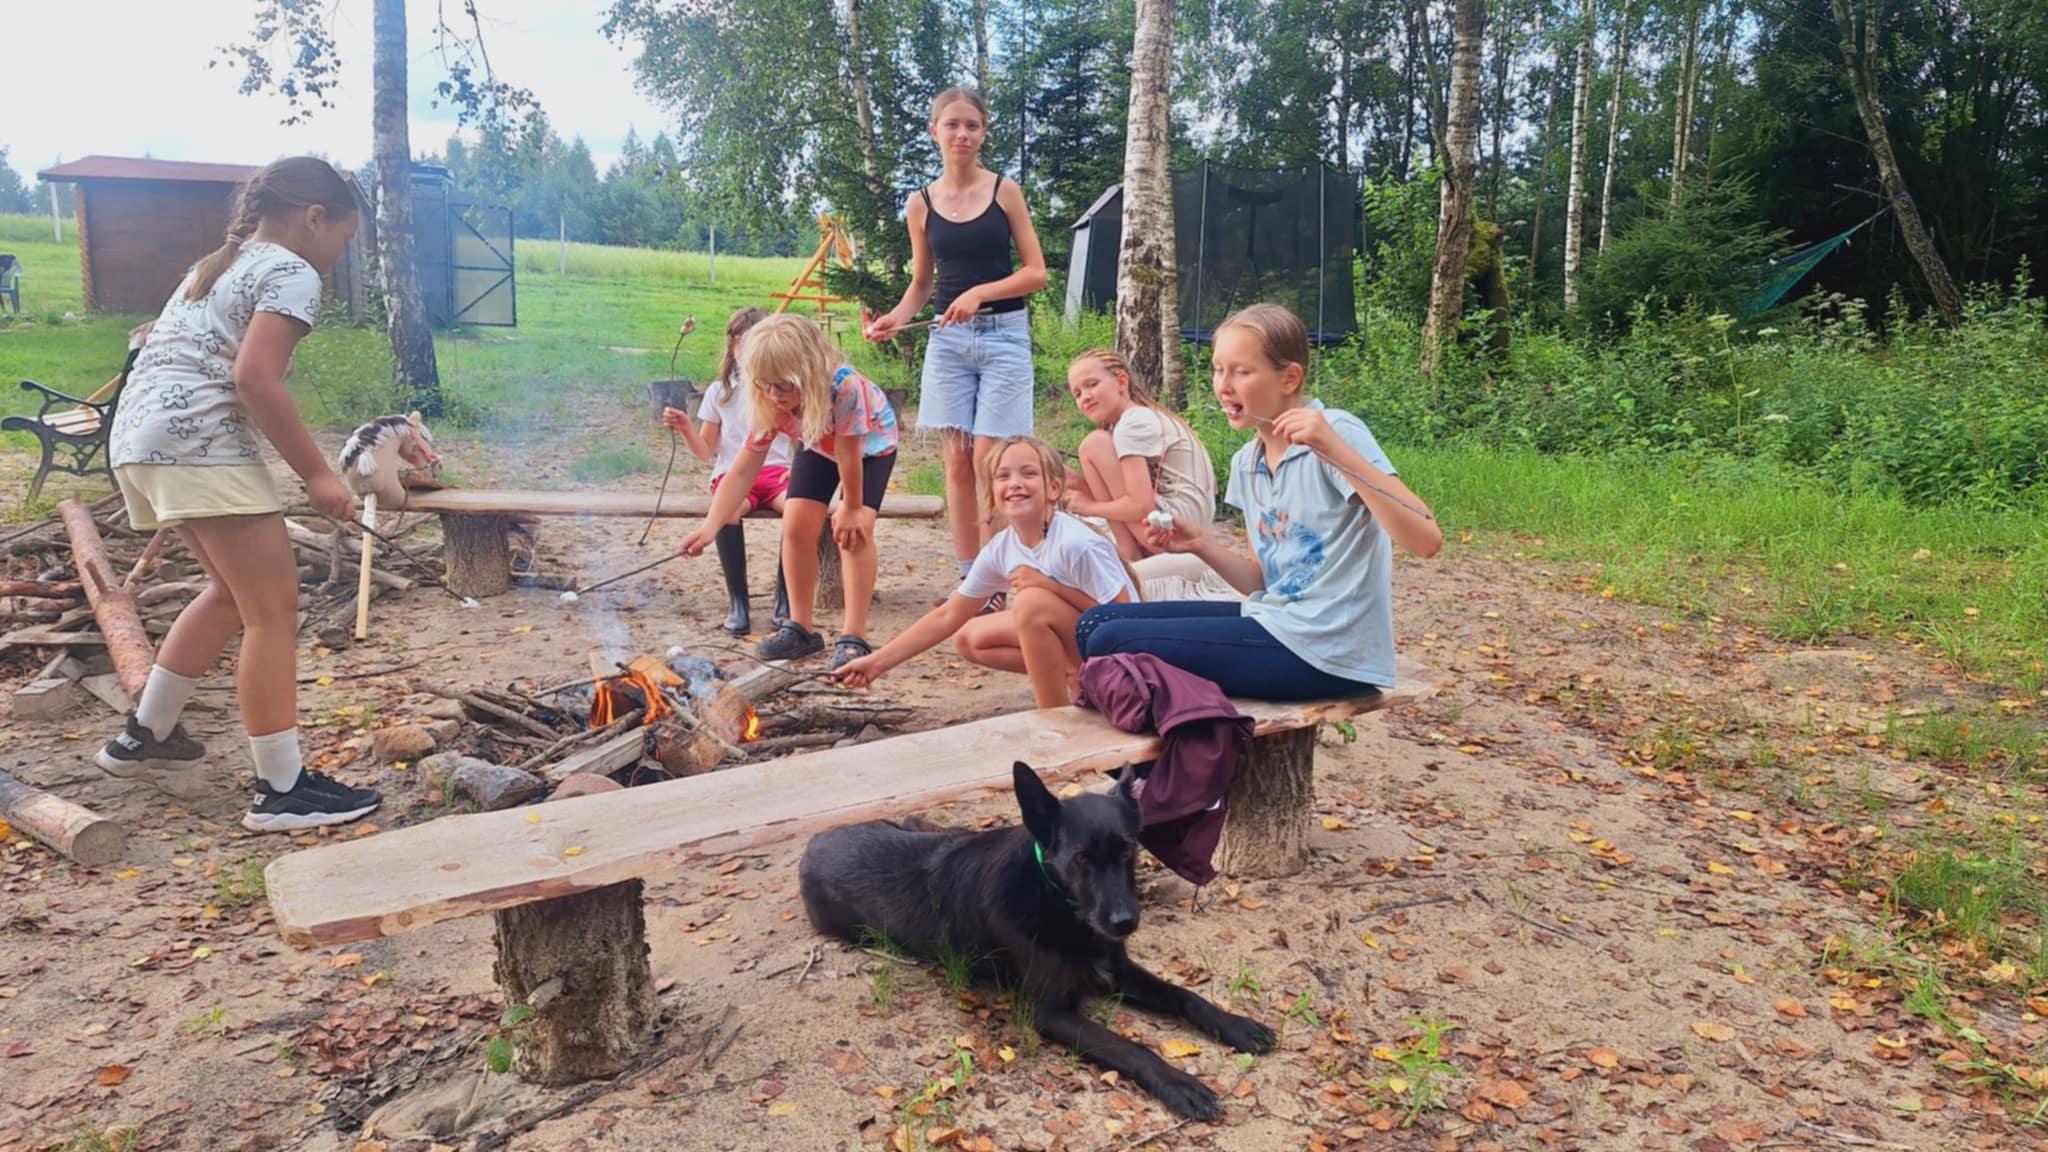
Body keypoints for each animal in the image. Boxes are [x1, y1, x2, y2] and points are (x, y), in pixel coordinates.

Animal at [799, 762, 1276, 1120]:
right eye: (1081, 859)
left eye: (1127, 851)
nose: (1124, 922)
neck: (1056, 902)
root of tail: (813, 842)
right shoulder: (1049, 1012)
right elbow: (1127, 1046)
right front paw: (1178, 1082)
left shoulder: (1118, 969)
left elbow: (1183, 995)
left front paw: (1235, 1024)